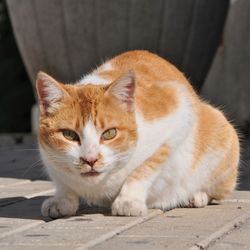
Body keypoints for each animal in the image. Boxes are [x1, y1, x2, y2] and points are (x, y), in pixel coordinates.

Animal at [36, 50, 238, 219]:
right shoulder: (49, 160)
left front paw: (128, 200)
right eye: (69, 135)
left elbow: (145, 169)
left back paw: (196, 195)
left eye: (109, 133)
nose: (90, 159)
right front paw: (62, 199)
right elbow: (61, 180)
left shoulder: (180, 116)